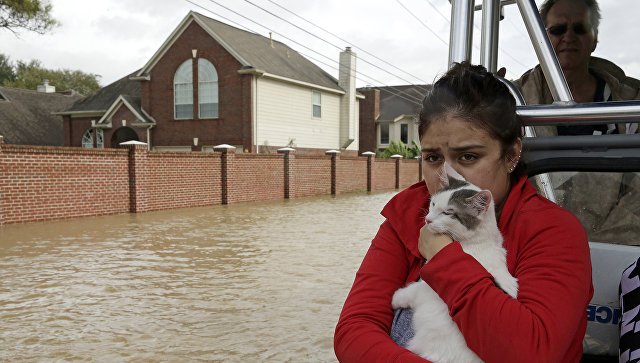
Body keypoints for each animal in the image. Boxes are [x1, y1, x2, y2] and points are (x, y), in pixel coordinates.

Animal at [390, 164, 520, 362]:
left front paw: (396, 298)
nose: (428, 219)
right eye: (433, 204)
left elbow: (411, 290)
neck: (475, 241)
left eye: (448, 213)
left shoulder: (426, 287)